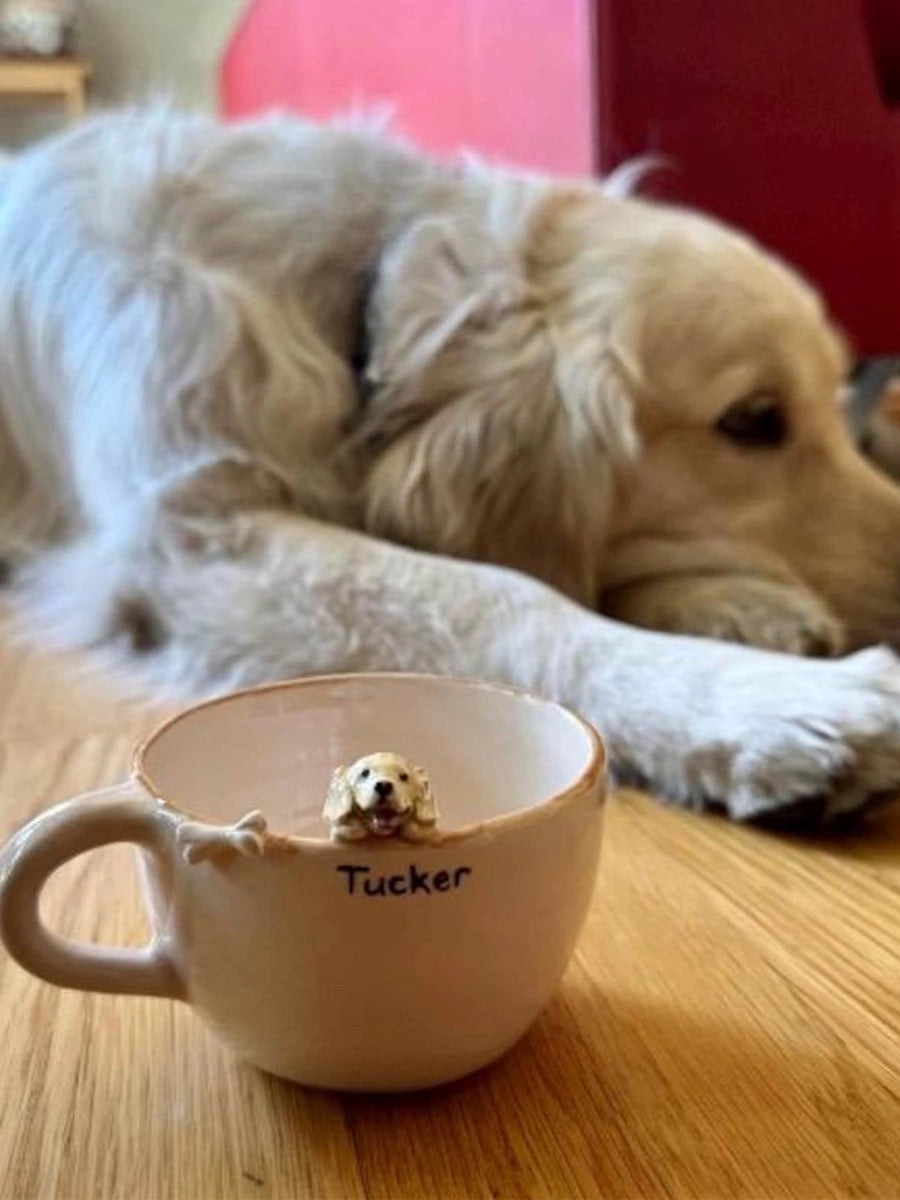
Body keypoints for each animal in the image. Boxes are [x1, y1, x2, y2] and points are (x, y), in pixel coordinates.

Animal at [1, 108, 900, 825]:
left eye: (840, 404)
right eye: (754, 420)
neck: (357, 289)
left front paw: (742, 608)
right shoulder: (192, 539)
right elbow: (503, 595)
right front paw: (763, 700)